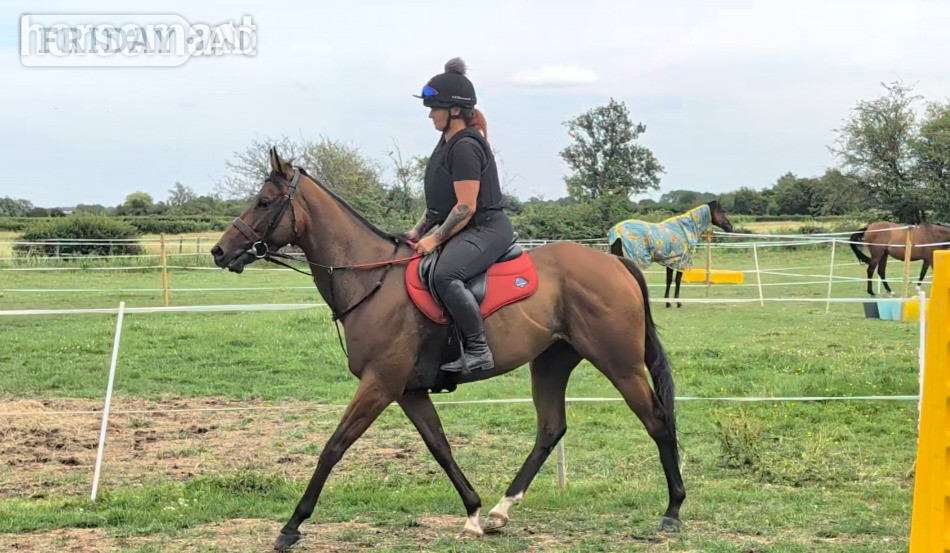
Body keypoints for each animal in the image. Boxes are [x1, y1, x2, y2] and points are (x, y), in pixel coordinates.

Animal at [211, 148, 685, 551]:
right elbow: (439, 446)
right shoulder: (408, 391)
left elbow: (334, 446)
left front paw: (292, 526)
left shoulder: (379, 384)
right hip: (551, 362)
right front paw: (472, 513)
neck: (372, 281)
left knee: (658, 422)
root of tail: (616, 262)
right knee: (551, 429)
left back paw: (673, 510)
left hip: (620, 365)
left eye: (264, 202)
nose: (219, 251)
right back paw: (500, 510)